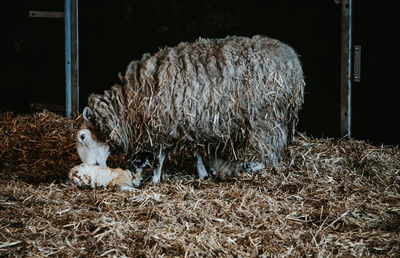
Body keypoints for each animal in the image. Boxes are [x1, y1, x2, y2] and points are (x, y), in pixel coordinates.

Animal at [76, 35, 304, 184]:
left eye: (83, 137)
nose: (85, 167)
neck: (132, 103)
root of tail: (292, 58)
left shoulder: (164, 125)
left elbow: (160, 156)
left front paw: (155, 179)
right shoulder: (188, 124)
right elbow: (195, 152)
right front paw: (203, 172)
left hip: (265, 119)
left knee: (267, 149)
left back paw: (247, 166)